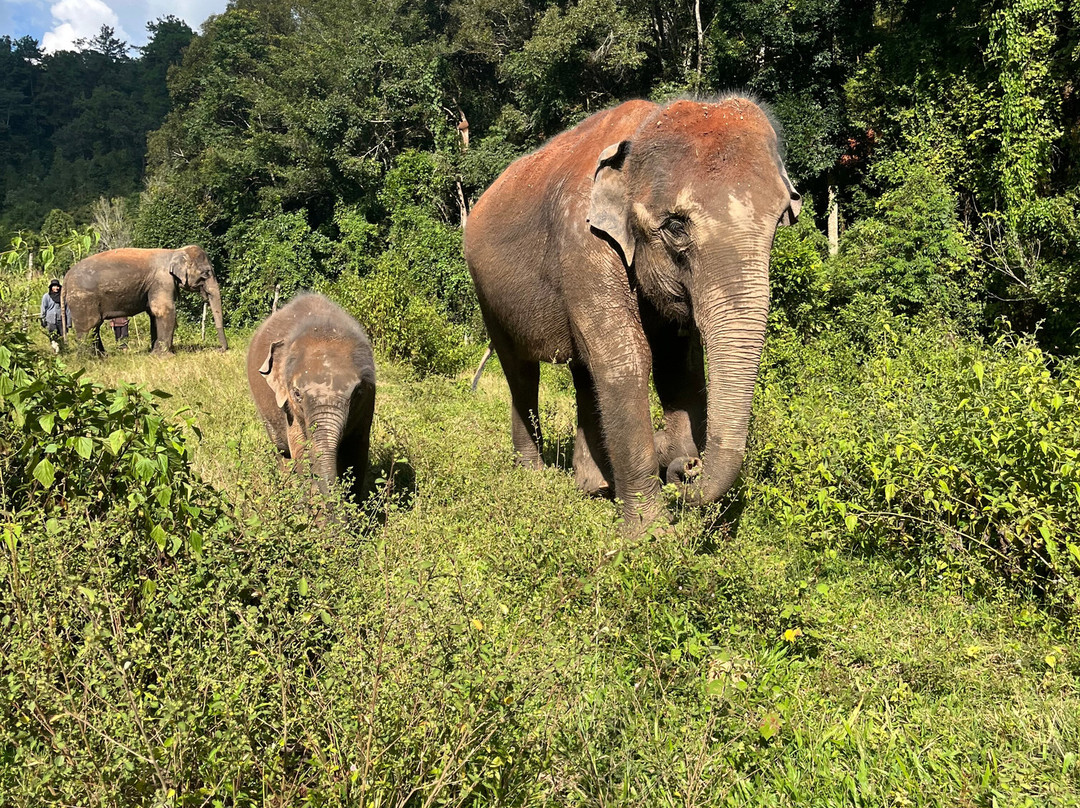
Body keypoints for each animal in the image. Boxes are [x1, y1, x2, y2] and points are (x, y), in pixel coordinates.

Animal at [61, 245, 228, 354]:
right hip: (83, 299)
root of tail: (66, 277)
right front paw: (164, 356)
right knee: (89, 326)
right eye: (206, 273)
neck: (174, 252)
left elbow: (154, 314)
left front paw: (153, 353)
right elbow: (164, 311)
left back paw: (102, 356)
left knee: (94, 327)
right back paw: (90, 359)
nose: (221, 350)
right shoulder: (162, 281)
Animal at [247, 293, 376, 502]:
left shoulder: (368, 401)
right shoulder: (289, 408)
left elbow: (356, 451)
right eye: (297, 394)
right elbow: (300, 449)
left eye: (357, 393)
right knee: (280, 450)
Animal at [464, 95, 801, 531]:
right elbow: (625, 361)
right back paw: (534, 476)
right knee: (521, 372)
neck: (641, 132)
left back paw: (595, 487)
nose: (689, 467)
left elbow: (678, 368)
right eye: (675, 227)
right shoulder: (583, 243)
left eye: (779, 223)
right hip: (488, 294)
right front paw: (653, 536)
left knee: (583, 372)